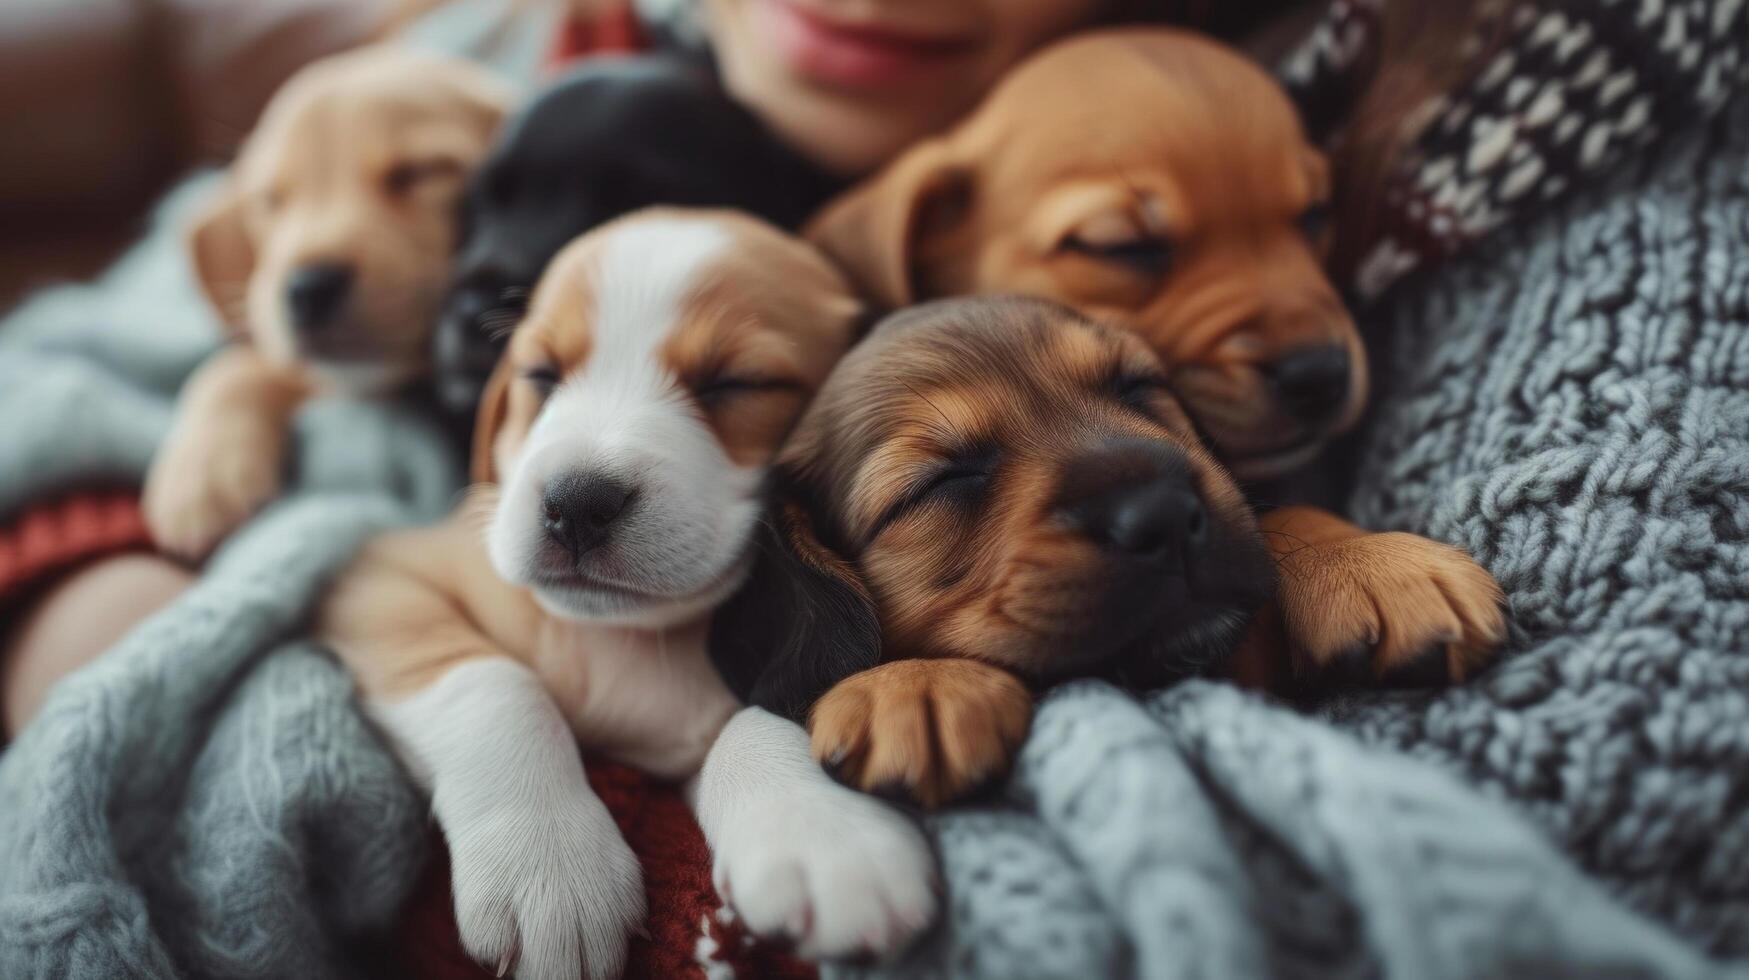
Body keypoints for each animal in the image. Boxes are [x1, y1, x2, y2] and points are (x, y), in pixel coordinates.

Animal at [314, 208, 944, 980]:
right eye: (540, 375)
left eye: (736, 383)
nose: (576, 503)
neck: (622, 639)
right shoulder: (384, 575)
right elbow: (493, 685)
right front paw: (548, 865)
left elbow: (757, 715)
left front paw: (826, 831)